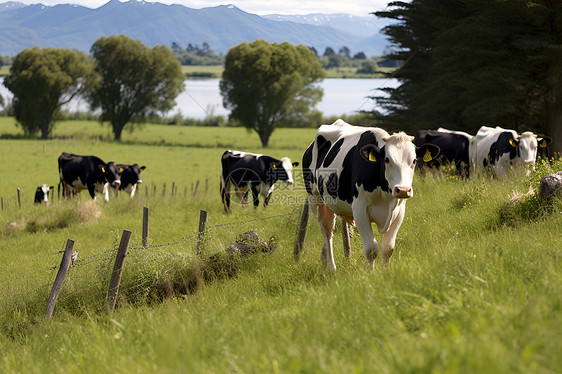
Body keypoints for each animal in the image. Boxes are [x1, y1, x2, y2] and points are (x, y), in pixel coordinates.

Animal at [302, 121, 438, 270]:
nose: (402, 190)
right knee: (327, 231)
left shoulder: (399, 210)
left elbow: (388, 248)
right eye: (387, 160)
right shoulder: (360, 209)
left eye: (414, 161)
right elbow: (371, 249)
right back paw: (331, 268)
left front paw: (386, 271)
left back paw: (323, 261)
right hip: (316, 199)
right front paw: (371, 273)